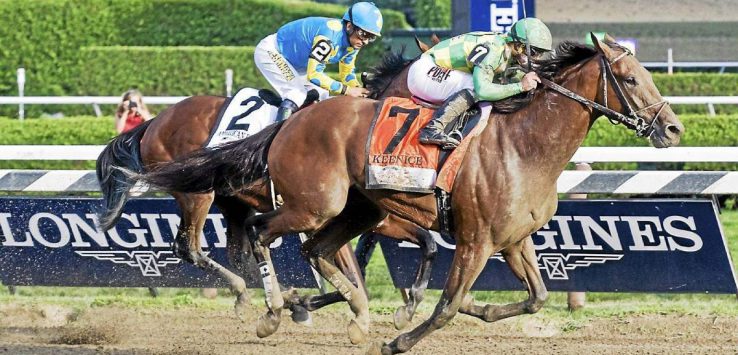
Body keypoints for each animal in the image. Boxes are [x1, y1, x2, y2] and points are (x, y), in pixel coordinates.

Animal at [135, 34, 680, 352]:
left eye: (648, 75)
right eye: (630, 78)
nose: (672, 128)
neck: (523, 145)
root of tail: (289, 123)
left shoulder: (513, 240)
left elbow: (536, 298)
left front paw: (478, 311)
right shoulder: (475, 240)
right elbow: (447, 304)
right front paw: (399, 337)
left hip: (351, 210)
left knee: (309, 247)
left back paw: (326, 311)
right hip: (312, 204)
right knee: (257, 232)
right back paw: (272, 308)